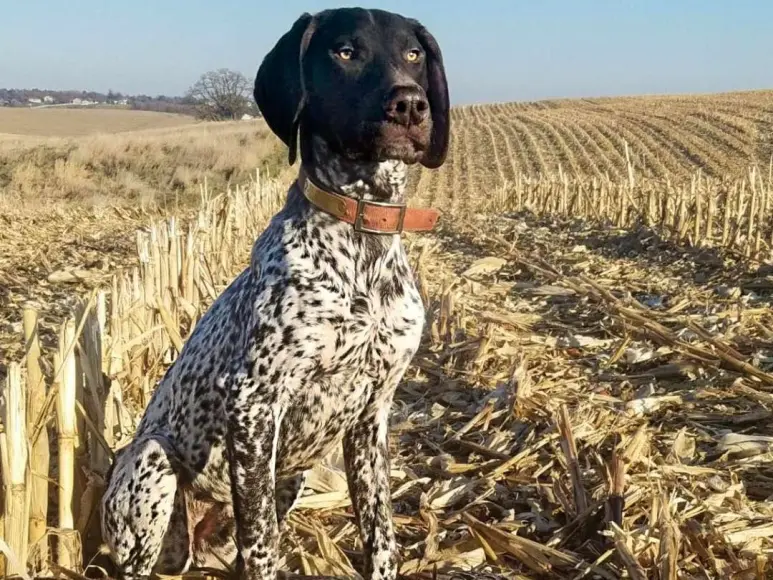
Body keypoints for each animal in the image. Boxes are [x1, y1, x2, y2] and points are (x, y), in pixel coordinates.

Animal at [103, 6, 452, 576]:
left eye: (414, 54)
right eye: (345, 52)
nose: (409, 104)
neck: (363, 242)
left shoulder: (372, 416)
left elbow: (381, 535)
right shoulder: (254, 404)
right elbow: (263, 544)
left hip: (290, 477)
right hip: (150, 462)